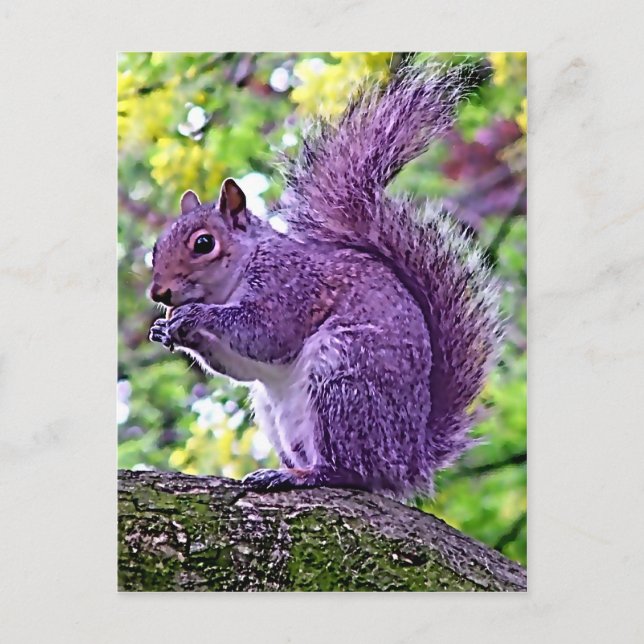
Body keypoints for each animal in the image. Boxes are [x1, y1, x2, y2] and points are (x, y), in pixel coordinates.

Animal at [148, 61, 502, 499]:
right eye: (156, 247)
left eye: (203, 243)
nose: (158, 291)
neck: (237, 274)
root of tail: (408, 461)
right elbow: (243, 366)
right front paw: (166, 330)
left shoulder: (289, 286)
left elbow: (267, 334)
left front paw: (196, 316)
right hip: (277, 411)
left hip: (342, 379)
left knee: (349, 470)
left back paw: (303, 475)